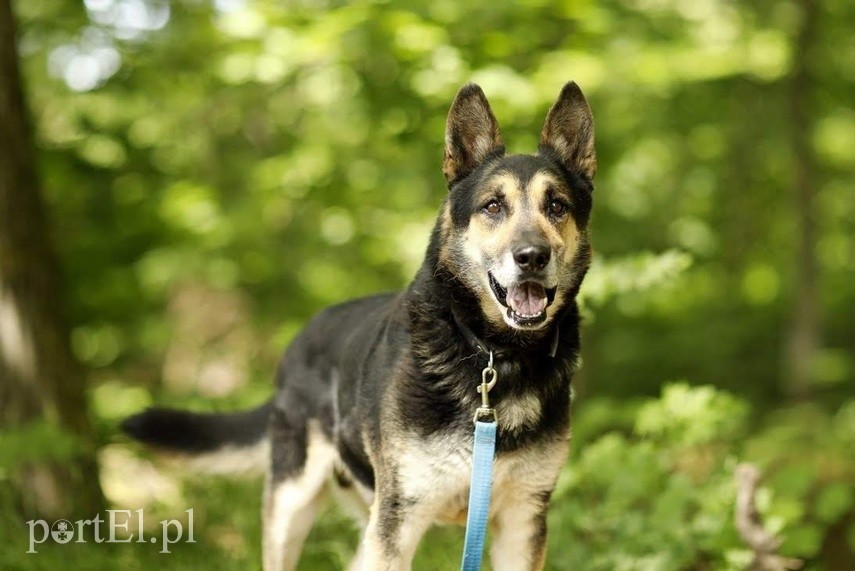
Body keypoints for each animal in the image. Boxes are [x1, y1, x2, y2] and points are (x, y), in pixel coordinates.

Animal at [122, 81, 596, 571]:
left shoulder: (522, 521)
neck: (492, 353)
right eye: (493, 206)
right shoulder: (398, 523)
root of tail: (302, 338)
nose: (532, 257)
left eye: (556, 205)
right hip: (292, 506)